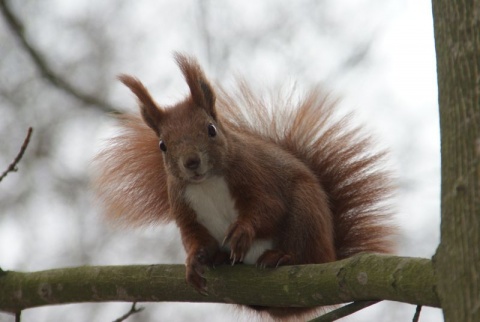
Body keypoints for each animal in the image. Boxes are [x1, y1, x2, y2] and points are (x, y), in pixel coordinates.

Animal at [92, 53, 396, 320]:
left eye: (211, 129)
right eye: (162, 145)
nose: (191, 162)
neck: (207, 183)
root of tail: (332, 254)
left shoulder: (256, 175)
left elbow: (269, 207)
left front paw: (241, 233)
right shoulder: (184, 208)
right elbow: (193, 236)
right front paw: (194, 260)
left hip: (306, 213)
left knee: (307, 253)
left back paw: (282, 257)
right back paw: (220, 258)